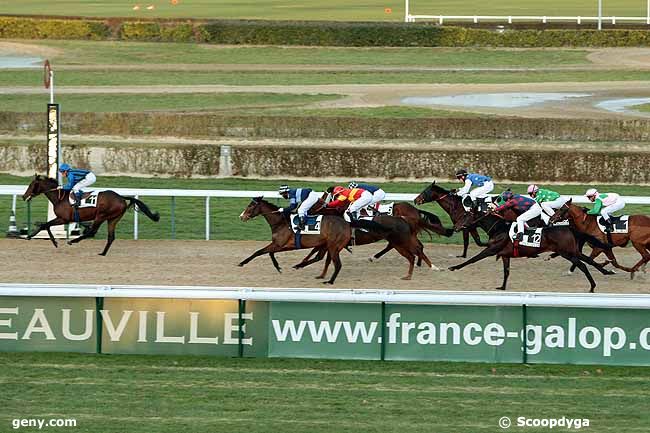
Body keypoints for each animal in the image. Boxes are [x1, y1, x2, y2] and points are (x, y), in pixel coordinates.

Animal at [23, 174, 160, 255]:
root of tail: (121, 197)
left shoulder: (63, 218)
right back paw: (103, 253)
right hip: (113, 218)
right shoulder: (64, 219)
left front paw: (32, 237)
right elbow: (45, 225)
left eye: (31, 185)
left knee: (92, 232)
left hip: (101, 216)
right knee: (111, 237)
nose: (24, 196)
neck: (60, 198)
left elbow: (45, 225)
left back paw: (73, 241)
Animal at [239, 197, 388, 284]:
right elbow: (269, 253)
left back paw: (329, 281)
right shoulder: (284, 245)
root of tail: (348, 223)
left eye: (251, 206)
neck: (281, 222)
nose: (242, 216)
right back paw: (301, 266)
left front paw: (242, 263)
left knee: (337, 264)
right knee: (321, 258)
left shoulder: (279, 244)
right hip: (328, 245)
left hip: (333, 246)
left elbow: (259, 252)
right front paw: (279, 267)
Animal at [448, 209, 612, 290]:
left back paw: (592, 286)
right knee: (588, 260)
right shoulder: (505, 255)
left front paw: (454, 267)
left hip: (566, 252)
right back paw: (606, 271)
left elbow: (473, 259)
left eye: (465, 216)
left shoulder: (492, 249)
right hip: (572, 251)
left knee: (583, 265)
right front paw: (502, 287)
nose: (455, 227)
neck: (499, 229)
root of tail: (569, 228)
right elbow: (506, 271)